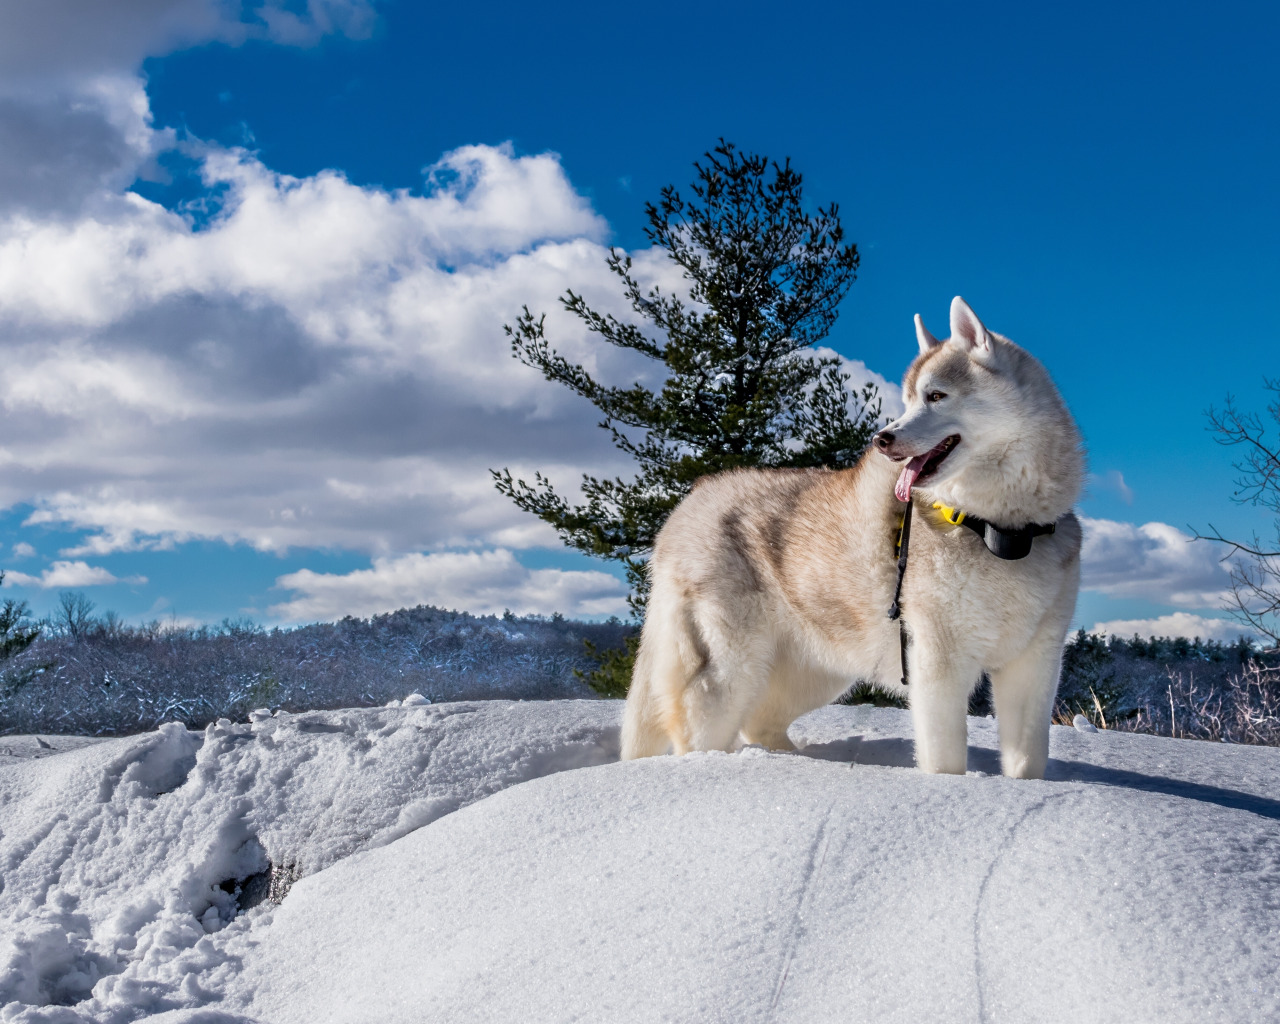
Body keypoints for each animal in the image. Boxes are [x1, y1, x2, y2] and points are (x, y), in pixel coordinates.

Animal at [619, 295, 1080, 778]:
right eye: (908, 400)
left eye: (935, 396)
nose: (882, 438)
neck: (995, 529)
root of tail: (688, 504)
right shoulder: (937, 662)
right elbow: (946, 762)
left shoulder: (1035, 665)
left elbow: (1028, 762)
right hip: (731, 671)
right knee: (699, 728)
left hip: (819, 672)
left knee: (759, 721)